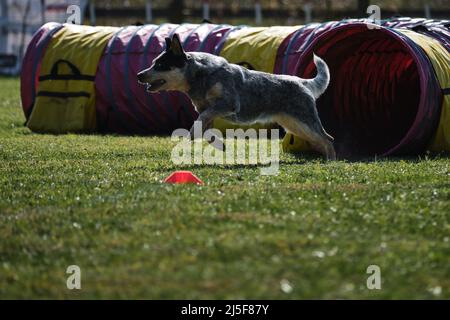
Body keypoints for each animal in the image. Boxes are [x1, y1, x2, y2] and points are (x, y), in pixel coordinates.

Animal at [139, 33, 336, 160]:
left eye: (160, 65)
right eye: (153, 62)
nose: (139, 75)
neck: (200, 77)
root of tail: (302, 82)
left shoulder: (228, 103)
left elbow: (199, 123)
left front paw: (192, 134)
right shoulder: (207, 111)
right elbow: (206, 130)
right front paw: (220, 145)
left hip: (304, 122)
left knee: (328, 138)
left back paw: (330, 162)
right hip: (294, 125)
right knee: (321, 140)